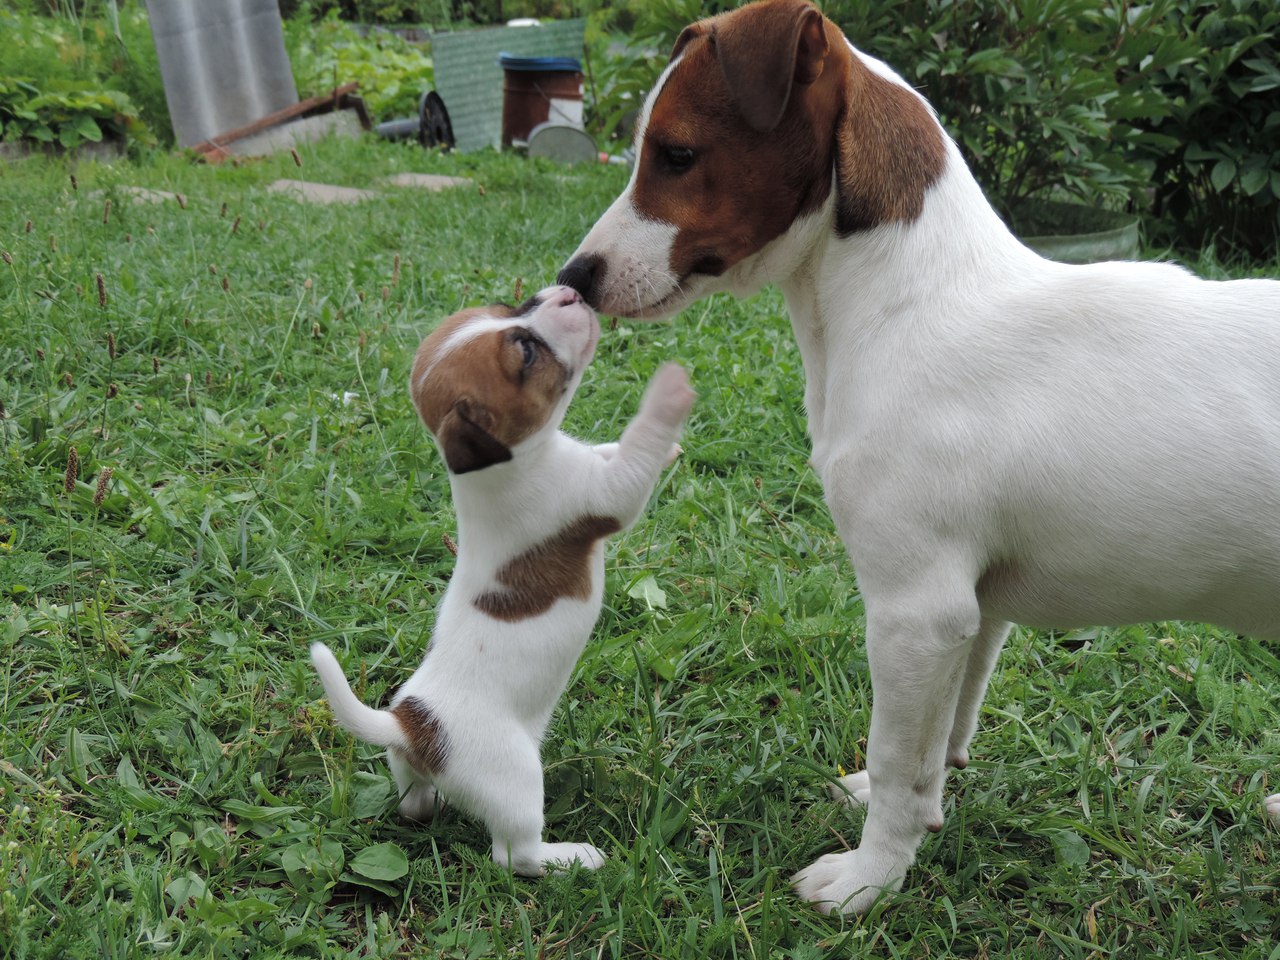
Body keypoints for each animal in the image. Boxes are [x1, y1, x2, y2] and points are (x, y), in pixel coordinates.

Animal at [311, 288, 696, 880]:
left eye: (509, 308)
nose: (565, 291)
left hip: (408, 769)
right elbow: (636, 451)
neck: (503, 467)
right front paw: (669, 394)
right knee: (515, 854)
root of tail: (413, 726)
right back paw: (573, 858)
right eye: (526, 351)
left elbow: (610, 446)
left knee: (413, 802)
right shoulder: (607, 495)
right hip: (515, 780)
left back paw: (424, 808)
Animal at [558, 0, 1280, 916]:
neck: (912, 297)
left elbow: (902, 753)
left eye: (677, 154)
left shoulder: (916, 612)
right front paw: (894, 805)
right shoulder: (971, 613)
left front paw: (870, 876)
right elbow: (937, 740)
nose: (574, 276)